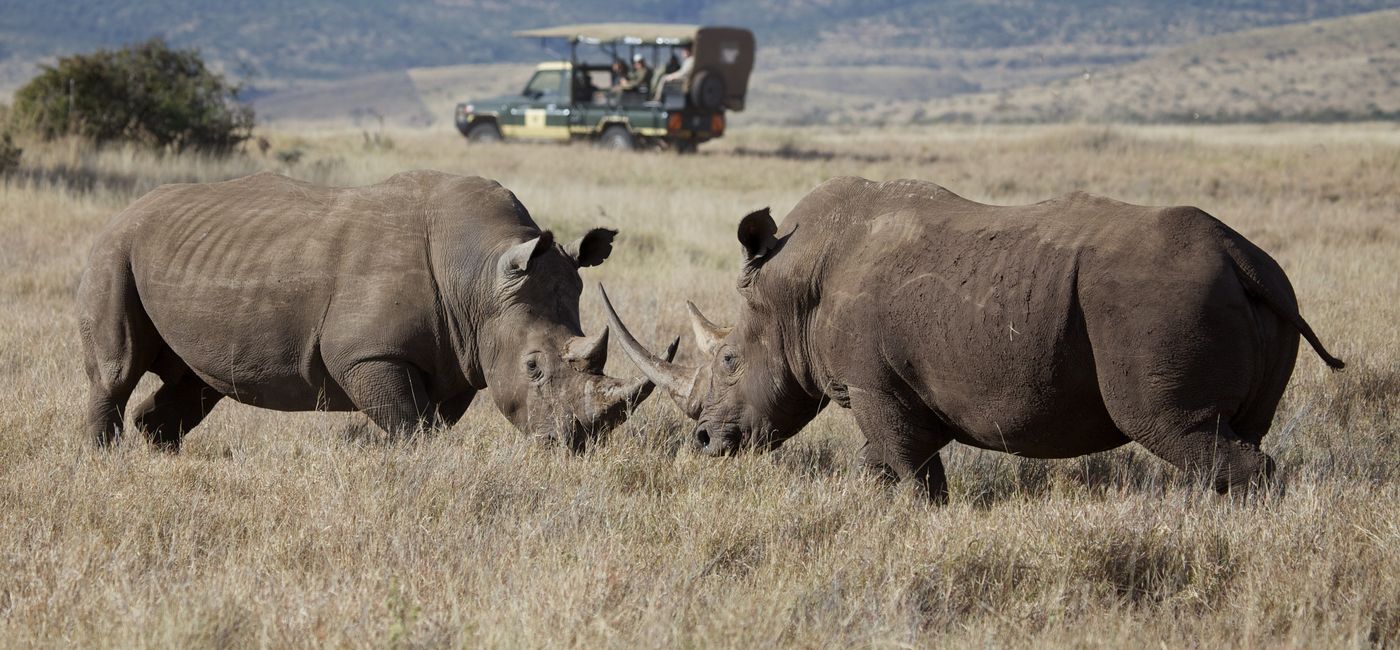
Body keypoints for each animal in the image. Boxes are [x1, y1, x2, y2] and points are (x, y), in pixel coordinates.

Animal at [79, 170, 663, 451]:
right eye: (534, 367)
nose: (575, 444)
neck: (481, 276)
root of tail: (122, 213)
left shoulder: (457, 357)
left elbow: (428, 422)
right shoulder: (368, 354)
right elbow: (411, 425)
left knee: (197, 382)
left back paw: (159, 452)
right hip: (114, 251)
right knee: (116, 370)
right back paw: (104, 461)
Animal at [604, 176, 1344, 500]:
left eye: (731, 359)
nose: (705, 441)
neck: (791, 290)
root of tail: (1241, 257)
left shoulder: (873, 385)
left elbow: (907, 469)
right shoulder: (897, 389)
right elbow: (890, 464)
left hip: (1160, 300)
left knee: (1173, 426)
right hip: (1256, 292)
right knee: (1229, 433)